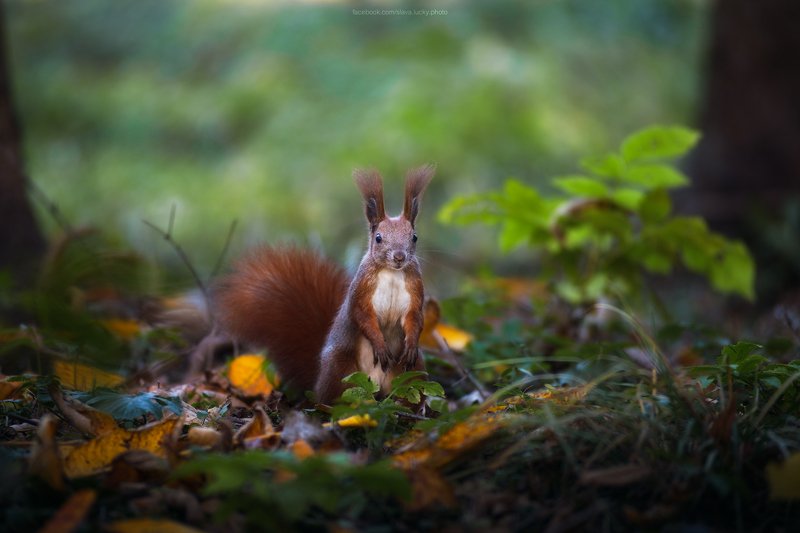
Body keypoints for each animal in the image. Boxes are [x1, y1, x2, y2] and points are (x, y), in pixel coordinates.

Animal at [215, 165, 435, 404]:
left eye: (414, 237)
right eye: (378, 238)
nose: (399, 257)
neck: (392, 273)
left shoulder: (415, 289)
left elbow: (414, 318)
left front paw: (411, 343)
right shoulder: (361, 291)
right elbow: (362, 316)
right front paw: (379, 344)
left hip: (412, 373)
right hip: (340, 367)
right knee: (331, 398)